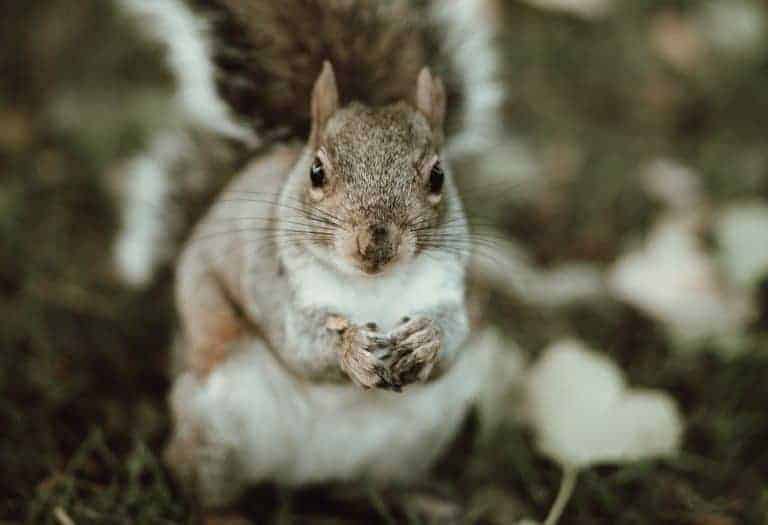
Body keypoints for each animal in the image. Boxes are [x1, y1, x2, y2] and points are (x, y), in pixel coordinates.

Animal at [117, 0, 508, 516]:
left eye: (439, 175)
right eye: (317, 172)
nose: (375, 242)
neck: (372, 286)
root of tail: (304, 476)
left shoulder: (453, 281)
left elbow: (456, 333)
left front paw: (427, 338)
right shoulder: (269, 277)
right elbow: (299, 343)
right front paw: (350, 349)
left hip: (423, 437)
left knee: (372, 483)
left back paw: (416, 498)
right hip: (213, 427)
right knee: (199, 484)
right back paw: (225, 515)